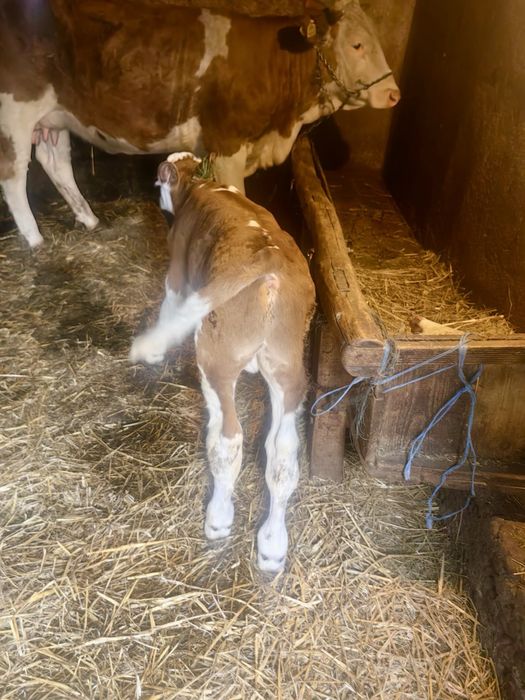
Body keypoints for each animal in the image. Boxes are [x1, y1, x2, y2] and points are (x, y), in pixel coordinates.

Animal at [0, 0, 400, 248]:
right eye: (357, 45)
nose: (394, 94)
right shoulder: (227, 144)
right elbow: (238, 199)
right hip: (16, 112)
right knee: (14, 175)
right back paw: (35, 240)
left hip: (56, 117)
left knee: (56, 163)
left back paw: (89, 219)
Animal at [129, 152, 316, 572]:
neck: (203, 186)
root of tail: (270, 260)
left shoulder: (178, 270)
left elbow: (170, 304)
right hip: (289, 369)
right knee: (282, 454)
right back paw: (272, 546)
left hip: (216, 358)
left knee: (228, 441)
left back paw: (218, 518)